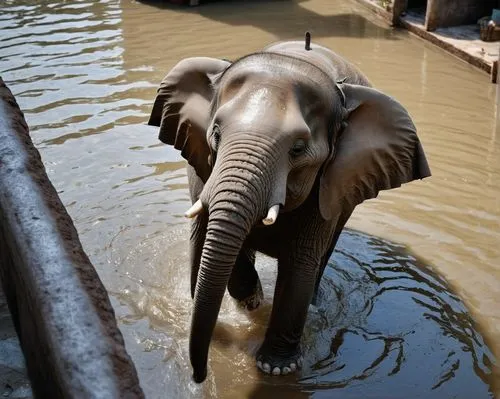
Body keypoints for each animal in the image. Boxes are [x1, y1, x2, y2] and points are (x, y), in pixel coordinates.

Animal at [147, 38, 430, 384]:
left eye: (297, 149)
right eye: (215, 132)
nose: (198, 377)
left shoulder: (329, 183)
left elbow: (300, 261)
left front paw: (277, 369)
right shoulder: (201, 160)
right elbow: (212, 230)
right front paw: (252, 301)